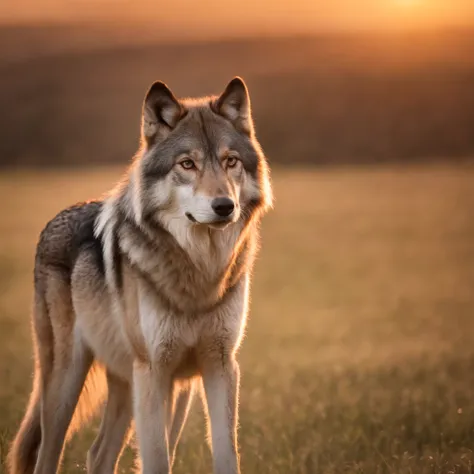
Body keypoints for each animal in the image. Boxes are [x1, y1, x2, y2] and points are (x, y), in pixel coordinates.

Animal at [7, 75, 272, 474]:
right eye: (187, 164)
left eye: (231, 162)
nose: (224, 206)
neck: (199, 273)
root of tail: (56, 218)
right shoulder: (153, 370)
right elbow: (156, 459)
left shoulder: (219, 366)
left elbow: (226, 455)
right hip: (68, 381)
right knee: (47, 454)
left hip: (150, 387)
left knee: (98, 454)